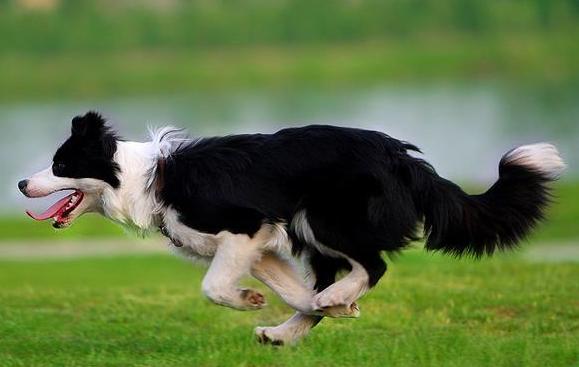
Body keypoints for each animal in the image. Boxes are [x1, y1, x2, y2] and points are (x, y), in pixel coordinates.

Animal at [18, 111, 568, 344]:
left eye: (60, 164)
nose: (22, 182)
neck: (141, 177)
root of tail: (403, 158)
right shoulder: (260, 247)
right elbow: (291, 290)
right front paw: (323, 309)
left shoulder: (244, 226)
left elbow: (212, 286)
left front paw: (249, 300)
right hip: (310, 233)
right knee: (329, 281)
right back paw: (287, 332)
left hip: (322, 219)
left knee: (374, 264)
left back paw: (329, 300)